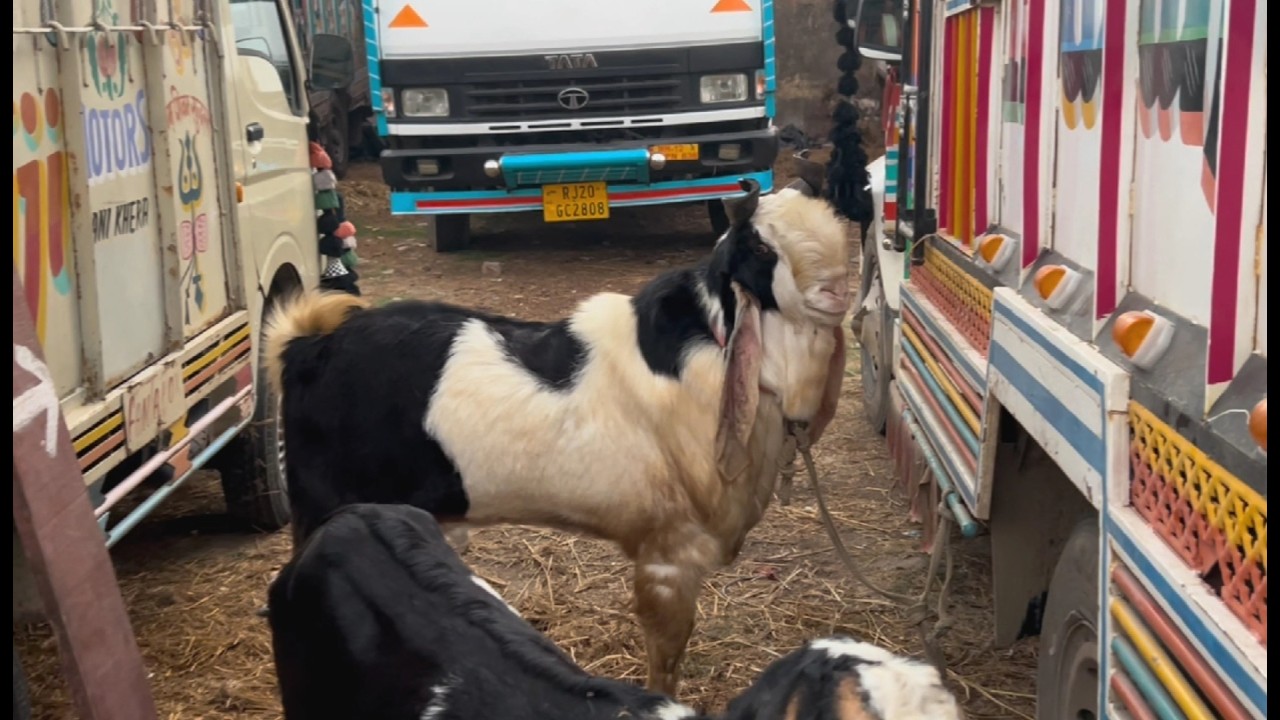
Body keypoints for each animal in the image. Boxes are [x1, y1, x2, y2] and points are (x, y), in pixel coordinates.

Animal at [264, 179, 852, 695]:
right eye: (760, 246)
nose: (836, 292)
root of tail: (305, 347)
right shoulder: (669, 550)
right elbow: (666, 656)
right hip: (320, 507)